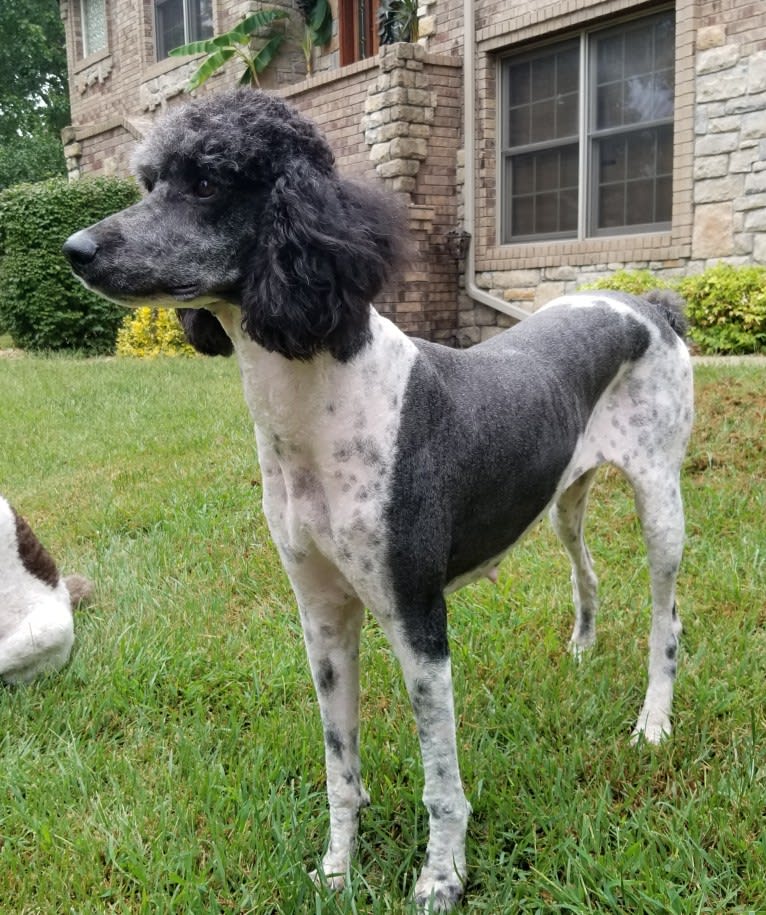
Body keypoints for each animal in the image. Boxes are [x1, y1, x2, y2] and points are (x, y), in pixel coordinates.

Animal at [63, 89, 692, 912]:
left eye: (207, 183)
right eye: (149, 181)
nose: (74, 248)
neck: (325, 398)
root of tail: (646, 301)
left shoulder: (417, 616)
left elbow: (441, 781)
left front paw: (442, 876)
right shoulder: (322, 615)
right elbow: (340, 767)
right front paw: (338, 868)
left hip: (662, 508)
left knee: (666, 621)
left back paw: (653, 722)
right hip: (564, 500)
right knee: (586, 570)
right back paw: (584, 646)